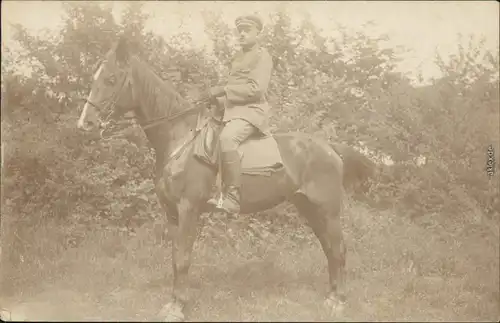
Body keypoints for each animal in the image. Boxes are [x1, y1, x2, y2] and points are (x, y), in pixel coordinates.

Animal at [75, 37, 372, 322]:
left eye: (110, 79)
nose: (85, 124)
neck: (180, 138)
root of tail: (330, 147)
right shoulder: (172, 213)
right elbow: (175, 257)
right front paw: (172, 303)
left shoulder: (188, 209)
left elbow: (182, 259)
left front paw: (178, 308)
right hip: (310, 209)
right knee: (330, 249)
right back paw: (331, 297)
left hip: (328, 211)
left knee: (339, 248)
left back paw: (338, 302)